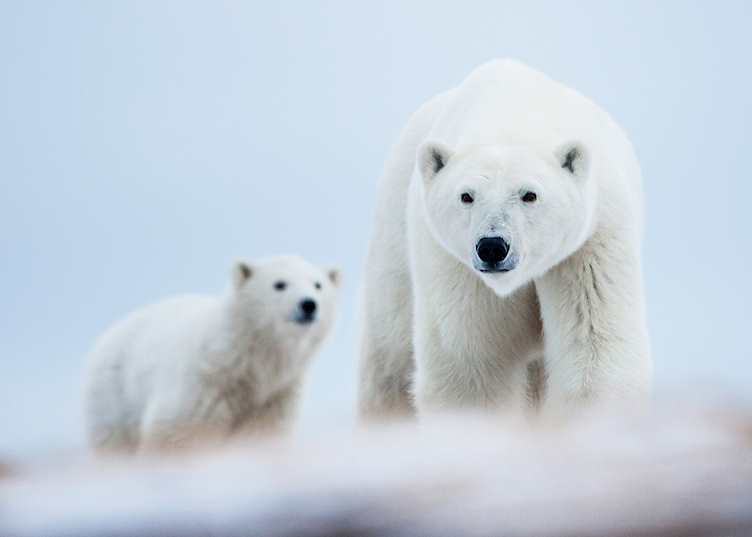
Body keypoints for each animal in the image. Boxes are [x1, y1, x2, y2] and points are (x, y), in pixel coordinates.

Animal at [85, 255, 340, 452]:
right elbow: (176, 433)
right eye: (279, 284)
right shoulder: (202, 388)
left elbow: (262, 434)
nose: (308, 304)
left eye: (318, 284)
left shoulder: (274, 397)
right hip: (115, 395)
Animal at [358, 60, 652, 420]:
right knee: (391, 353)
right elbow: (472, 368)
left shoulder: (591, 243)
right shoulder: (455, 265)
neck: (508, 113)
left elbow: (595, 346)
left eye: (529, 194)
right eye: (466, 196)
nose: (492, 247)